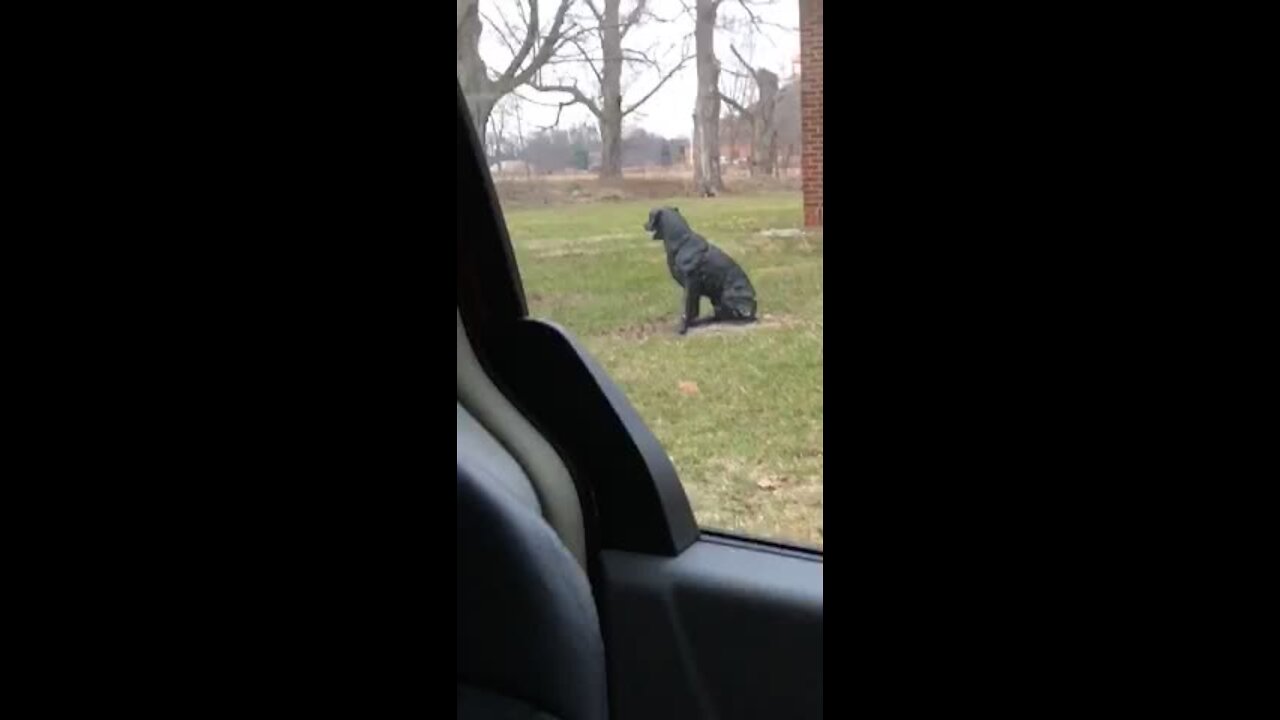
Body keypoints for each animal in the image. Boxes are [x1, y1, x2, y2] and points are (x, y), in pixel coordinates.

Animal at [645, 204, 752, 333]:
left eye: (650, 216)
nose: (644, 225)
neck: (682, 242)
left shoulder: (690, 283)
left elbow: (686, 308)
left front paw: (683, 328)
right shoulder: (694, 290)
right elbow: (693, 309)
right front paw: (691, 323)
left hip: (727, 296)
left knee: (738, 316)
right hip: (716, 299)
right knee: (720, 314)